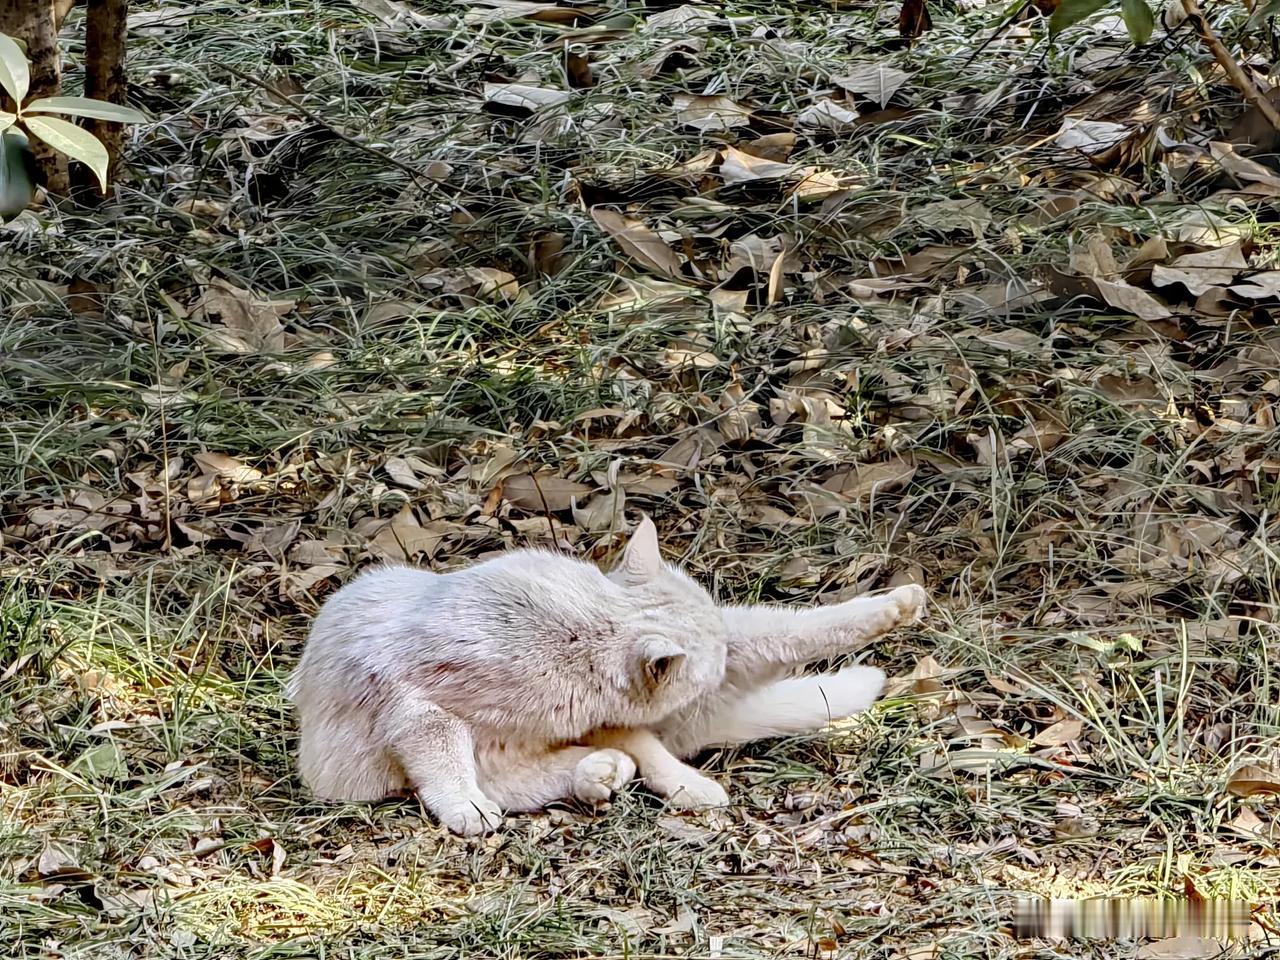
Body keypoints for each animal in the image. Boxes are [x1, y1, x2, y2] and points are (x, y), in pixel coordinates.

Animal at [291, 519, 926, 834]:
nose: (718, 673)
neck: (582, 634)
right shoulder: (422, 705)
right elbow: (444, 761)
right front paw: (464, 807)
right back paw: (601, 774)